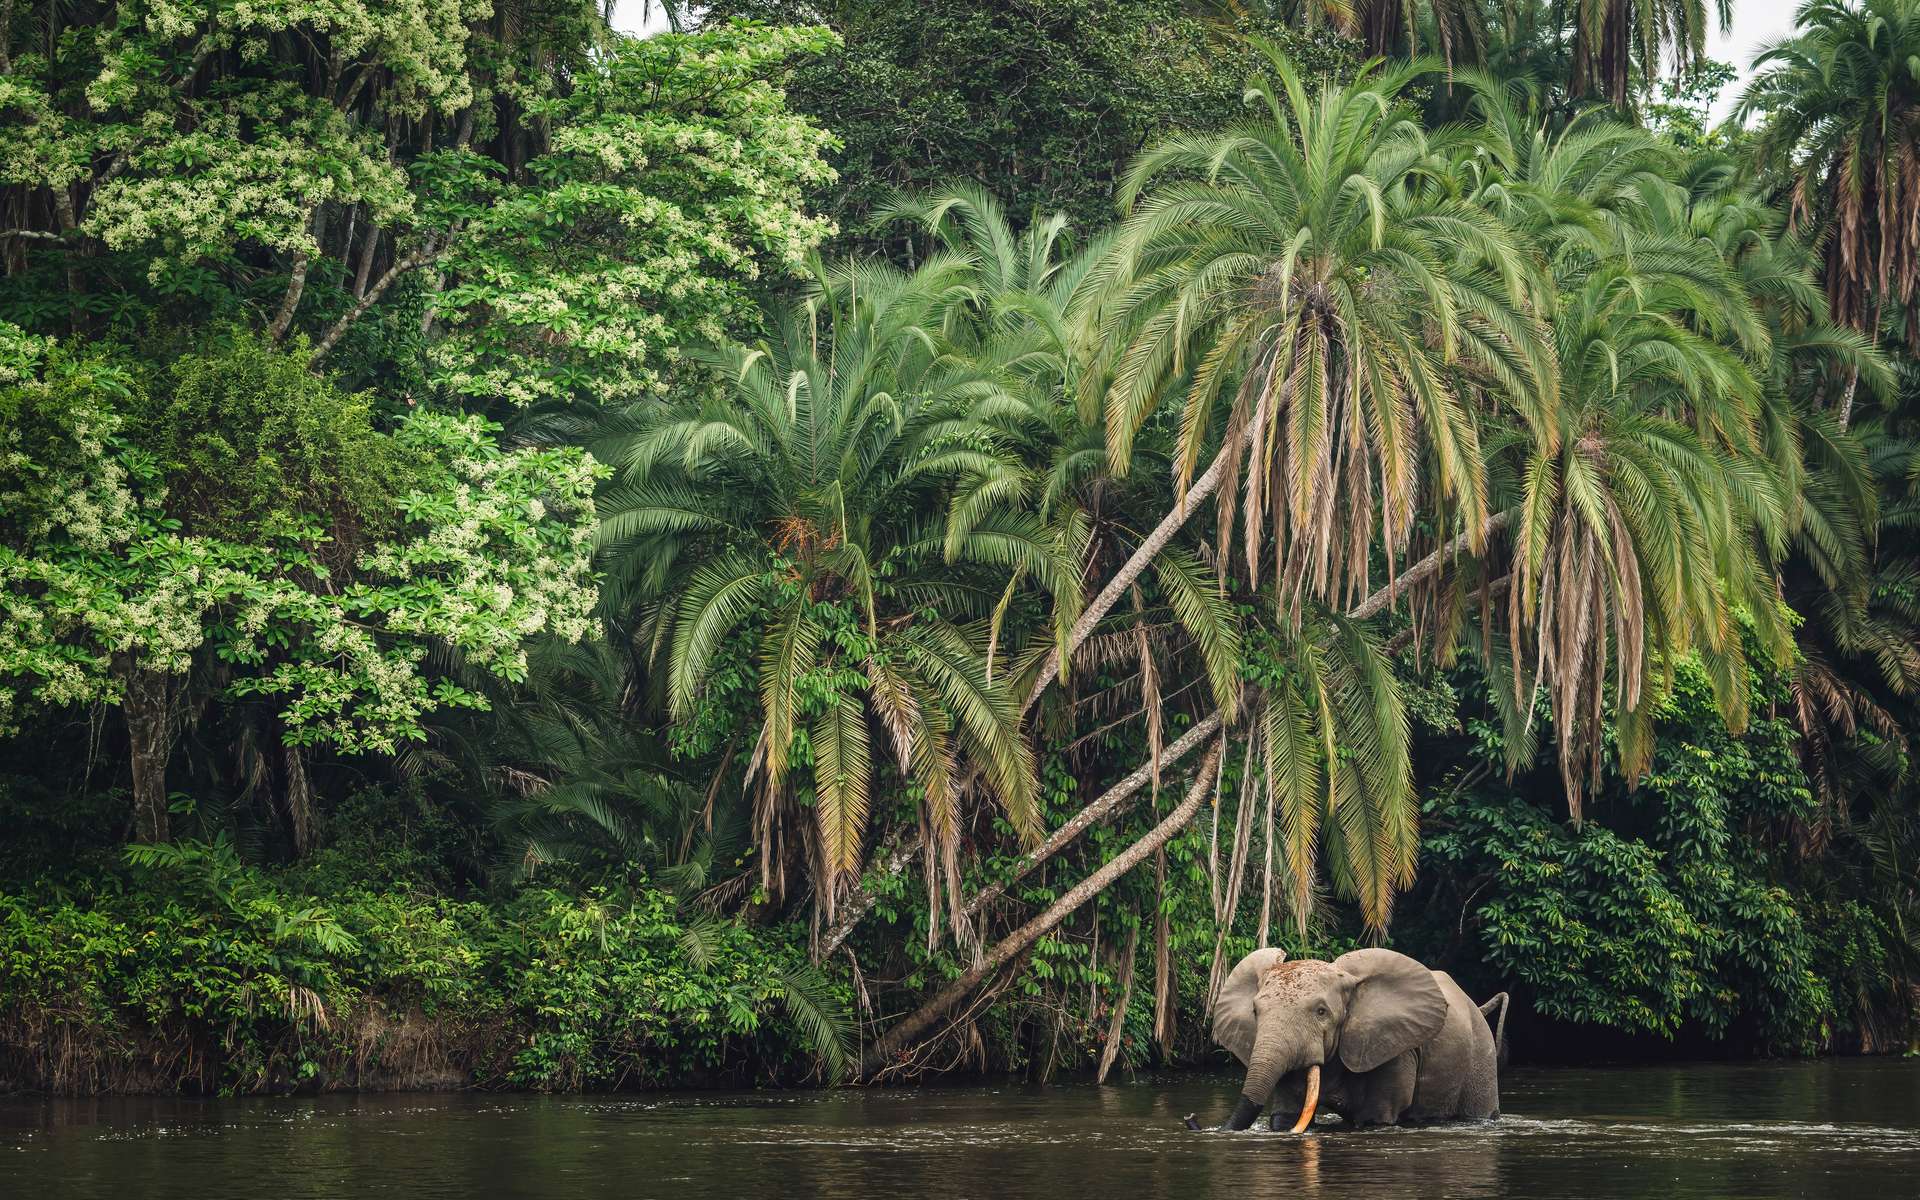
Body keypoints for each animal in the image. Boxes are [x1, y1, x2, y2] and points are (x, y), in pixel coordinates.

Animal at [1182, 944, 1512, 1128]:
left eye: (1321, 1012)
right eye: (1255, 1011)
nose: (1190, 1118)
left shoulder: (1394, 1048)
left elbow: (1377, 1117)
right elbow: (1286, 1116)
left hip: (1480, 1055)